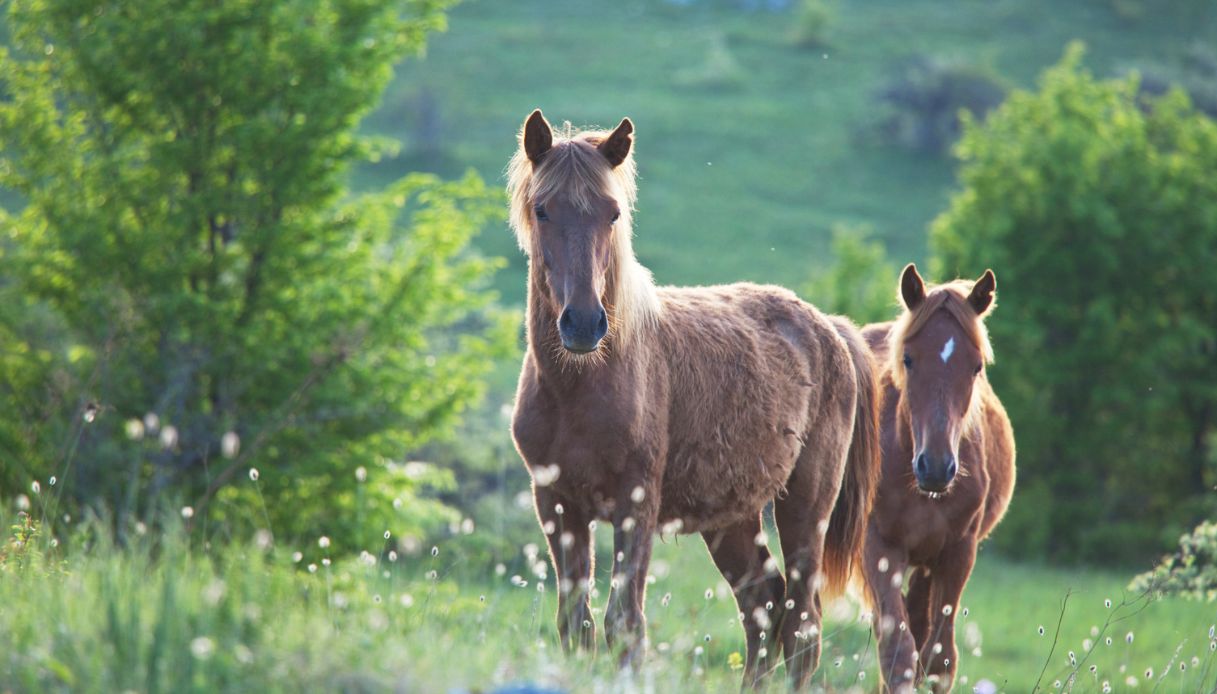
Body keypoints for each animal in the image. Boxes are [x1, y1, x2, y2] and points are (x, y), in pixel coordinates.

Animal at [506, 109, 881, 688]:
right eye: (542, 209)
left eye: (613, 212)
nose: (585, 323)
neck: (580, 388)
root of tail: (832, 330)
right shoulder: (556, 502)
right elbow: (577, 622)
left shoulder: (635, 503)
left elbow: (624, 622)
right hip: (731, 518)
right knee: (763, 606)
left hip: (805, 508)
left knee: (802, 624)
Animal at [859, 263, 1016, 693]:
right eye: (909, 359)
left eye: (976, 366)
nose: (936, 466)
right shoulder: (879, 548)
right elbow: (897, 654)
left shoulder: (958, 552)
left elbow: (940, 658)